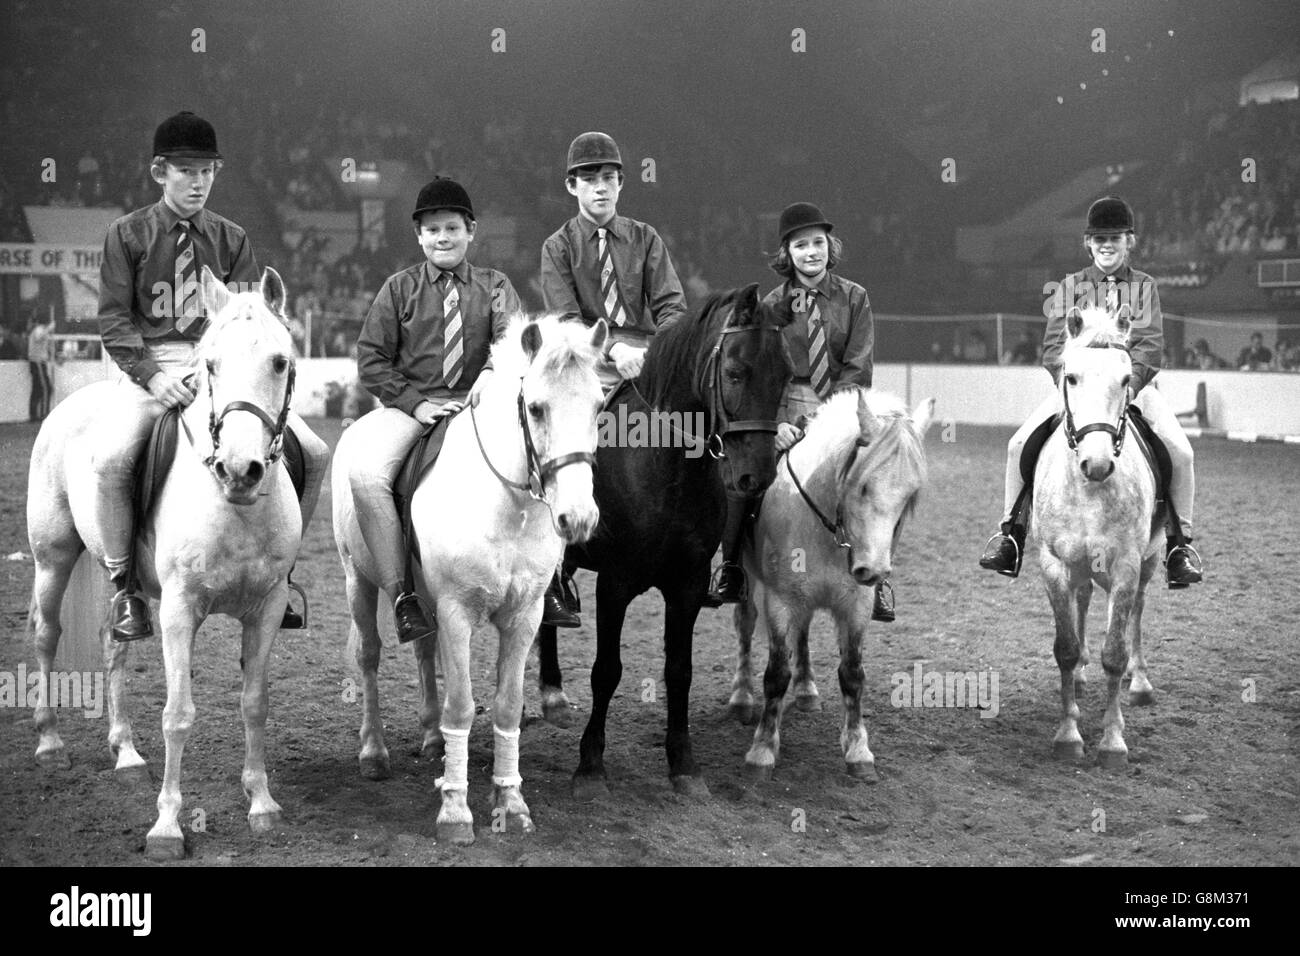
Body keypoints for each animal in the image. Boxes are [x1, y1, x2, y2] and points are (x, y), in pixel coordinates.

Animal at [31, 267, 306, 858]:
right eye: (210, 365)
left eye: (279, 362)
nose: (239, 471)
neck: (235, 509)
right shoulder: (180, 610)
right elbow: (178, 716)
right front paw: (166, 827)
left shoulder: (268, 608)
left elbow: (255, 703)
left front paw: (262, 803)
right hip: (52, 557)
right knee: (45, 633)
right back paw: (49, 742)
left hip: (121, 585)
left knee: (114, 643)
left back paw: (126, 752)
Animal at [330, 314, 603, 842]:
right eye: (535, 408)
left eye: (600, 406)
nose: (578, 517)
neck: (507, 505)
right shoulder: (457, 613)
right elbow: (461, 705)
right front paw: (455, 811)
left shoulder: (525, 616)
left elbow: (507, 705)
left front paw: (511, 802)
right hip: (358, 580)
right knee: (369, 657)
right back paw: (374, 752)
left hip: (421, 598)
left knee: (422, 649)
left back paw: (433, 738)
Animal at [538, 283, 790, 801]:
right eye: (734, 372)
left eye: (784, 375)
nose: (755, 476)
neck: (663, 465)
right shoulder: (615, 583)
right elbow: (606, 670)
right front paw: (590, 766)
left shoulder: (687, 584)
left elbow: (680, 671)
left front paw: (684, 764)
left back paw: (552, 691)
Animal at [728, 390, 930, 780]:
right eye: (863, 486)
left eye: (911, 494)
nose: (873, 570)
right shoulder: (780, 601)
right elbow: (776, 673)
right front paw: (762, 751)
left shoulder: (856, 606)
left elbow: (852, 674)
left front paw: (858, 750)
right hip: (749, 580)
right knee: (745, 625)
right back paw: (741, 697)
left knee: (803, 632)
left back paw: (807, 690)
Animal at [1029, 306, 1164, 770]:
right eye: (1070, 377)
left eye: (1125, 379)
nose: (1098, 464)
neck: (1089, 489)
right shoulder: (1054, 563)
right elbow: (1066, 647)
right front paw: (1068, 734)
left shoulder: (1125, 564)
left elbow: (1115, 652)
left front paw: (1112, 742)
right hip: (1080, 565)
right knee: (1084, 599)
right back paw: (1084, 674)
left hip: (1147, 562)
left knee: (1137, 610)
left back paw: (1139, 682)